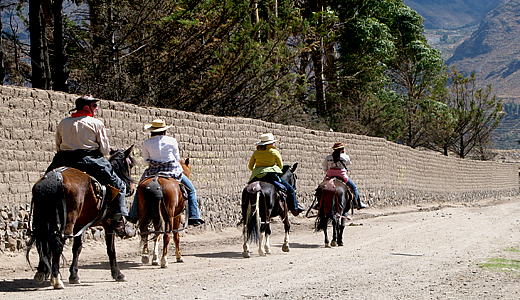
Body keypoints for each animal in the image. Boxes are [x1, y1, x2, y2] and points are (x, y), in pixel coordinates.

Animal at [26, 146, 135, 290]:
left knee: (43, 242)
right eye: (130, 165)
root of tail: (54, 179)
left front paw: (74, 276)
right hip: (68, 221)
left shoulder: (79, 225)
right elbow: (111, 249)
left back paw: (42, 272)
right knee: (57, 243)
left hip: (43, 219)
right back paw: (56, 280)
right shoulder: (108, 225)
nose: (131, 189)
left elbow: (76, 248)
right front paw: (118, 274)